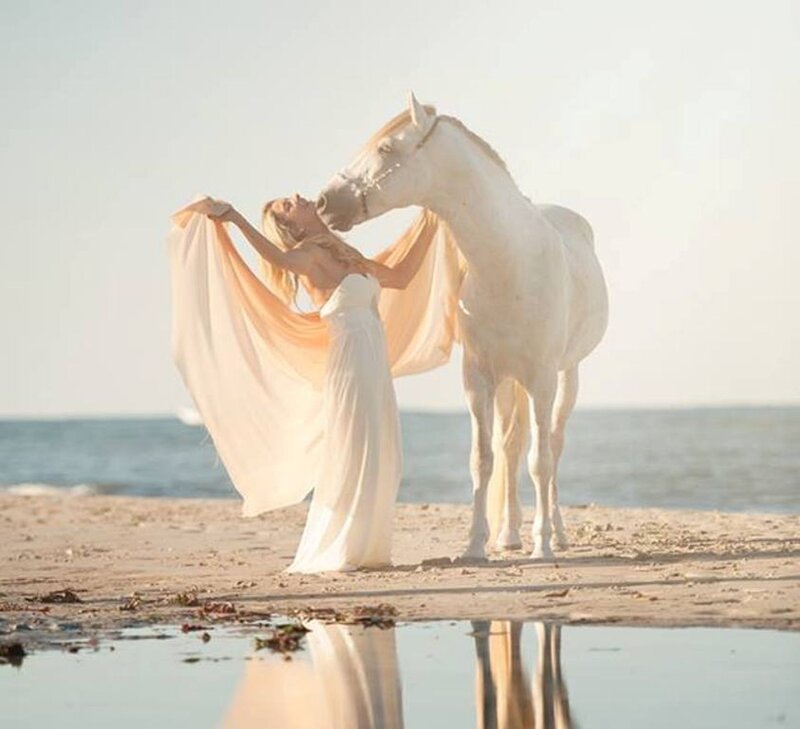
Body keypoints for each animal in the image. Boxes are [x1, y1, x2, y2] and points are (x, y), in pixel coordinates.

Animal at [317, 93, 608, 560]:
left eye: (385, 148)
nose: (325, 202)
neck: (510, 262)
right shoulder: (477, 378)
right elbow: (484, 459)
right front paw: (475, 545)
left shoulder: (542, 380)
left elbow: (541, 461)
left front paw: (543, 546)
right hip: (508, 383)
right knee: (511, 446)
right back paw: (509, 534)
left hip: (566, 375)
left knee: (553, 444)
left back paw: (558, 533)